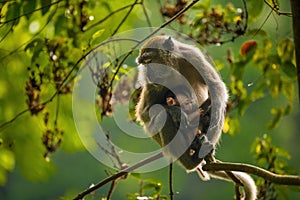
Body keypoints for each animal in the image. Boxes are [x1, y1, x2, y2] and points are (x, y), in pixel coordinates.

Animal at [135, 36, 256, 200]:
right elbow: (144, 113)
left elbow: (216, 89)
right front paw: (175, 111)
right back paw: (190, 162)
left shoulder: (193, 57)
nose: (147, 73)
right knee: (160, 119)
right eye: (143, 63)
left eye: (149, 60)